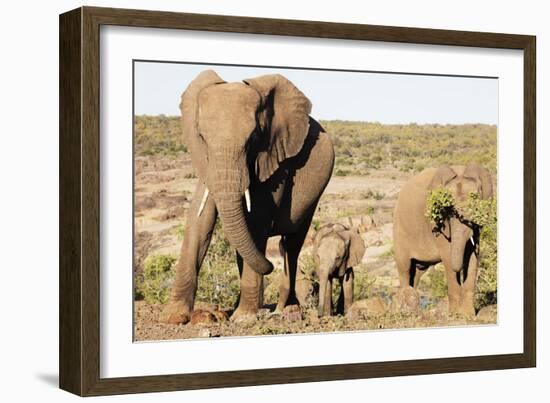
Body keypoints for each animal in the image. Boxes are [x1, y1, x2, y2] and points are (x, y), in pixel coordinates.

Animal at [160, 70, 336, 326]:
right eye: (201, 137)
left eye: (253, 138)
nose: (269, 266)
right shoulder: (207, 163)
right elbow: (199, 221)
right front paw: (174, 316)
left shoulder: (275, 160)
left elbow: (257, 221)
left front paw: (244, 318)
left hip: (315, 195)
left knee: (292, 245)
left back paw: (285, 308)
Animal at [394, 164, 494, 318]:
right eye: (447, 208)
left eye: (475, 203)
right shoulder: (436, 222)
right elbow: (448, 255)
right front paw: (454, 315)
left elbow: (472, 256)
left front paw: (467, 315)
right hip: (400, 232)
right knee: (405, 268)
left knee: (416, 273)